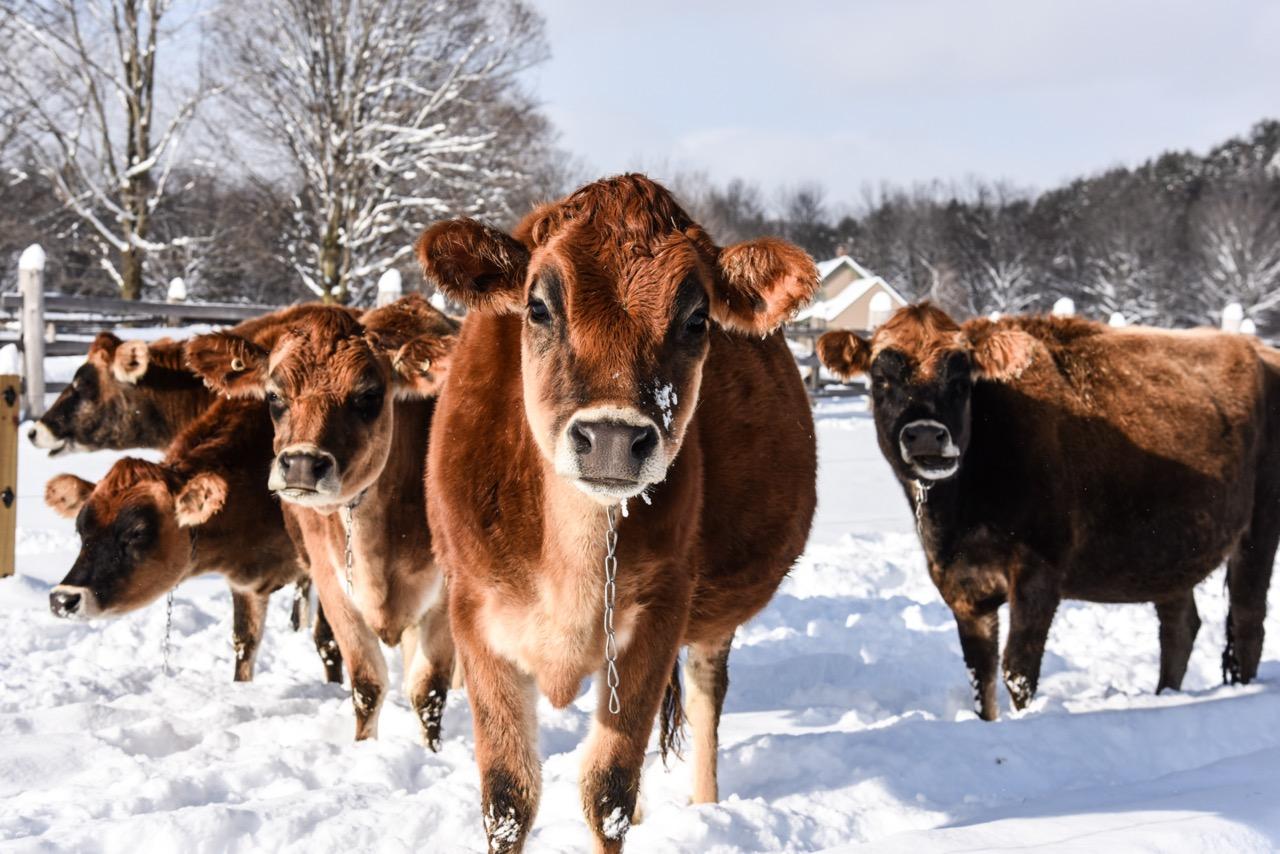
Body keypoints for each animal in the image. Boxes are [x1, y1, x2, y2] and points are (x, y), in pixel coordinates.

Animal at [184, 294, 458, 745]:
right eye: (274, 396)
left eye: (368, 396)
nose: (300, 464)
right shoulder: (333, 585)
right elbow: (367, 685)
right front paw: (364, 748)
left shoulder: (445, 595)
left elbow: (429, 692)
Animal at [415, 174, 819, 853]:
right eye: (539, 307)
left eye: (697, 319)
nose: (609, 436)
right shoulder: (474, 614)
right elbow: (508, 796)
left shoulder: (656, 619)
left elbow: (608, 792)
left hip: (711, 622)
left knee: (707, 698)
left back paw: (706, 806)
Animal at [817, 302, 1280, 721]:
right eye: (881, 378)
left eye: (961, 379)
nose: (928, 435)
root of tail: (1259, 348)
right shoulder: (962, 587)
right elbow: (981, 675)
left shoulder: (1038, 574)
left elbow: (1017, 672)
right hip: (1168, 553)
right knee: (1180, 626)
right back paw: (1164, 697)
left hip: (1258, 532)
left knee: (1247, 621)